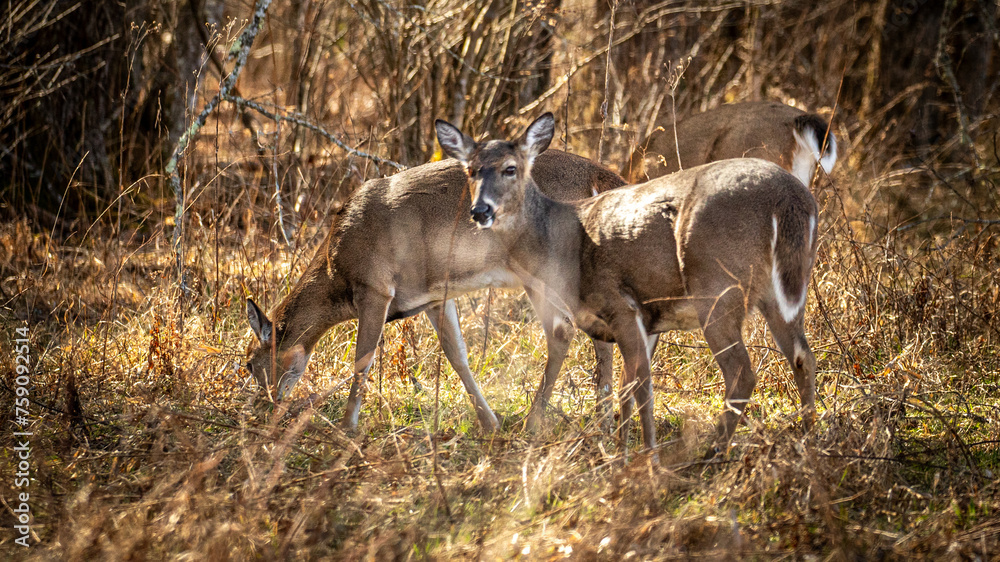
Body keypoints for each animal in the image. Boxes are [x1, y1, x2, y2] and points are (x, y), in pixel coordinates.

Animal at [244, 149, 626, 434]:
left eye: (249, 363)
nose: (264, 406)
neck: (335, 271)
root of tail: (598, 177)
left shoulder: (375, 286)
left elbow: (363, 359)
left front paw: (348, 425)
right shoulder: (432, 295)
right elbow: (456, 354)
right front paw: (488, 421)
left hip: (545, 265)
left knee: (563, 331)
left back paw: (538, 421)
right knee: (596, 330)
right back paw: (604, 418)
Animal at [435, 112, 819, 456]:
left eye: (510, 168)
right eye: (470, 170)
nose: (480, 210)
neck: (562, 242)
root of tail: (789, 198)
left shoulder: (621, 305)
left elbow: (642, 388)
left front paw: (645, 456)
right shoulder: (648, 320)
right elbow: (627, 388)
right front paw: (622, 451)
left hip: (717, 288)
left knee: (742, 372)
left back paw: (711, 450)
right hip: (782, 290)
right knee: (803, 355)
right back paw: (806, 438)